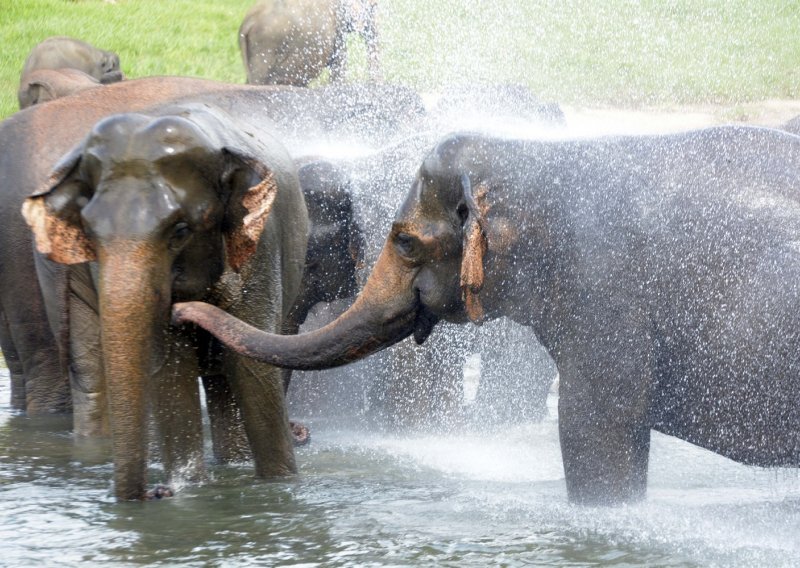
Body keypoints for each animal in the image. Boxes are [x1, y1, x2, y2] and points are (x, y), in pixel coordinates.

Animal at [21, 103, 310, 502]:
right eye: (89, 234)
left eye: (181, 231)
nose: (154, 493)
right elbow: (170, 370)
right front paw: (187, 490)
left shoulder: (260, 245)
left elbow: (252, 372)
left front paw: (279, 488)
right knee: (92, 372)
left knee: (225, 381)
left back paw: (232, 463)